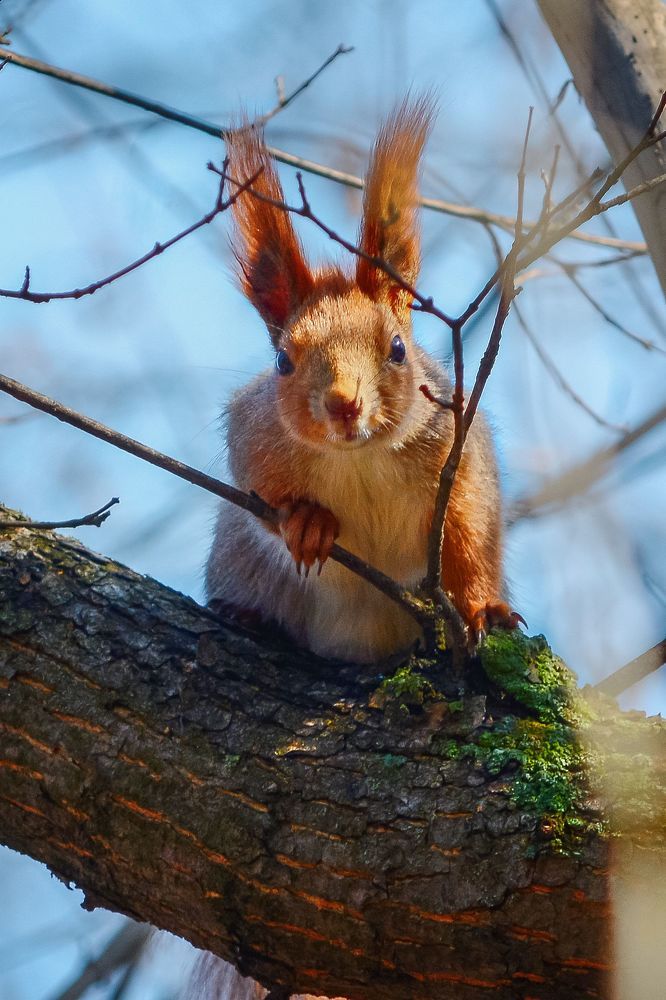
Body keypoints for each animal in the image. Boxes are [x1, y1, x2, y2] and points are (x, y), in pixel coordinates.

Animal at [206, 97, 523, 663]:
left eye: (397, 348)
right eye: (283, 361)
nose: (343, 403)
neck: (360, 458)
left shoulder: (460, 454)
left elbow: (470, 535)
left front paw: (485, 608)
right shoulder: (252, 438)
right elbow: (262, 501)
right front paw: (308, 521)